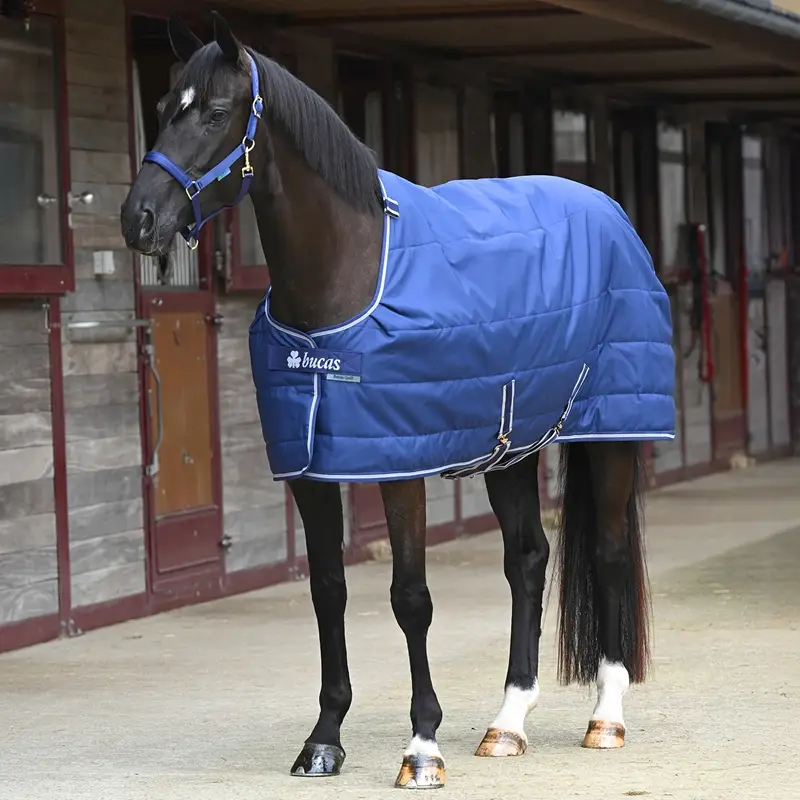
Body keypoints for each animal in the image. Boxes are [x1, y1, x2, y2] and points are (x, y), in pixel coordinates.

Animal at [120, 12, 675, 789]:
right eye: (165, 104)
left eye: (217, 112)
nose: (138, 219)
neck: (347, 277)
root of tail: (612, 214)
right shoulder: (313, 470)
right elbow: (328, 591)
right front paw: (323, 740)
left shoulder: (399, 467)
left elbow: (410, 599)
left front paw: (422, 748)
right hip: (509, 446)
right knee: (528, 560)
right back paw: (508, 722)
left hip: (611, 432)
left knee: (610, 551)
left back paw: (606, 718)